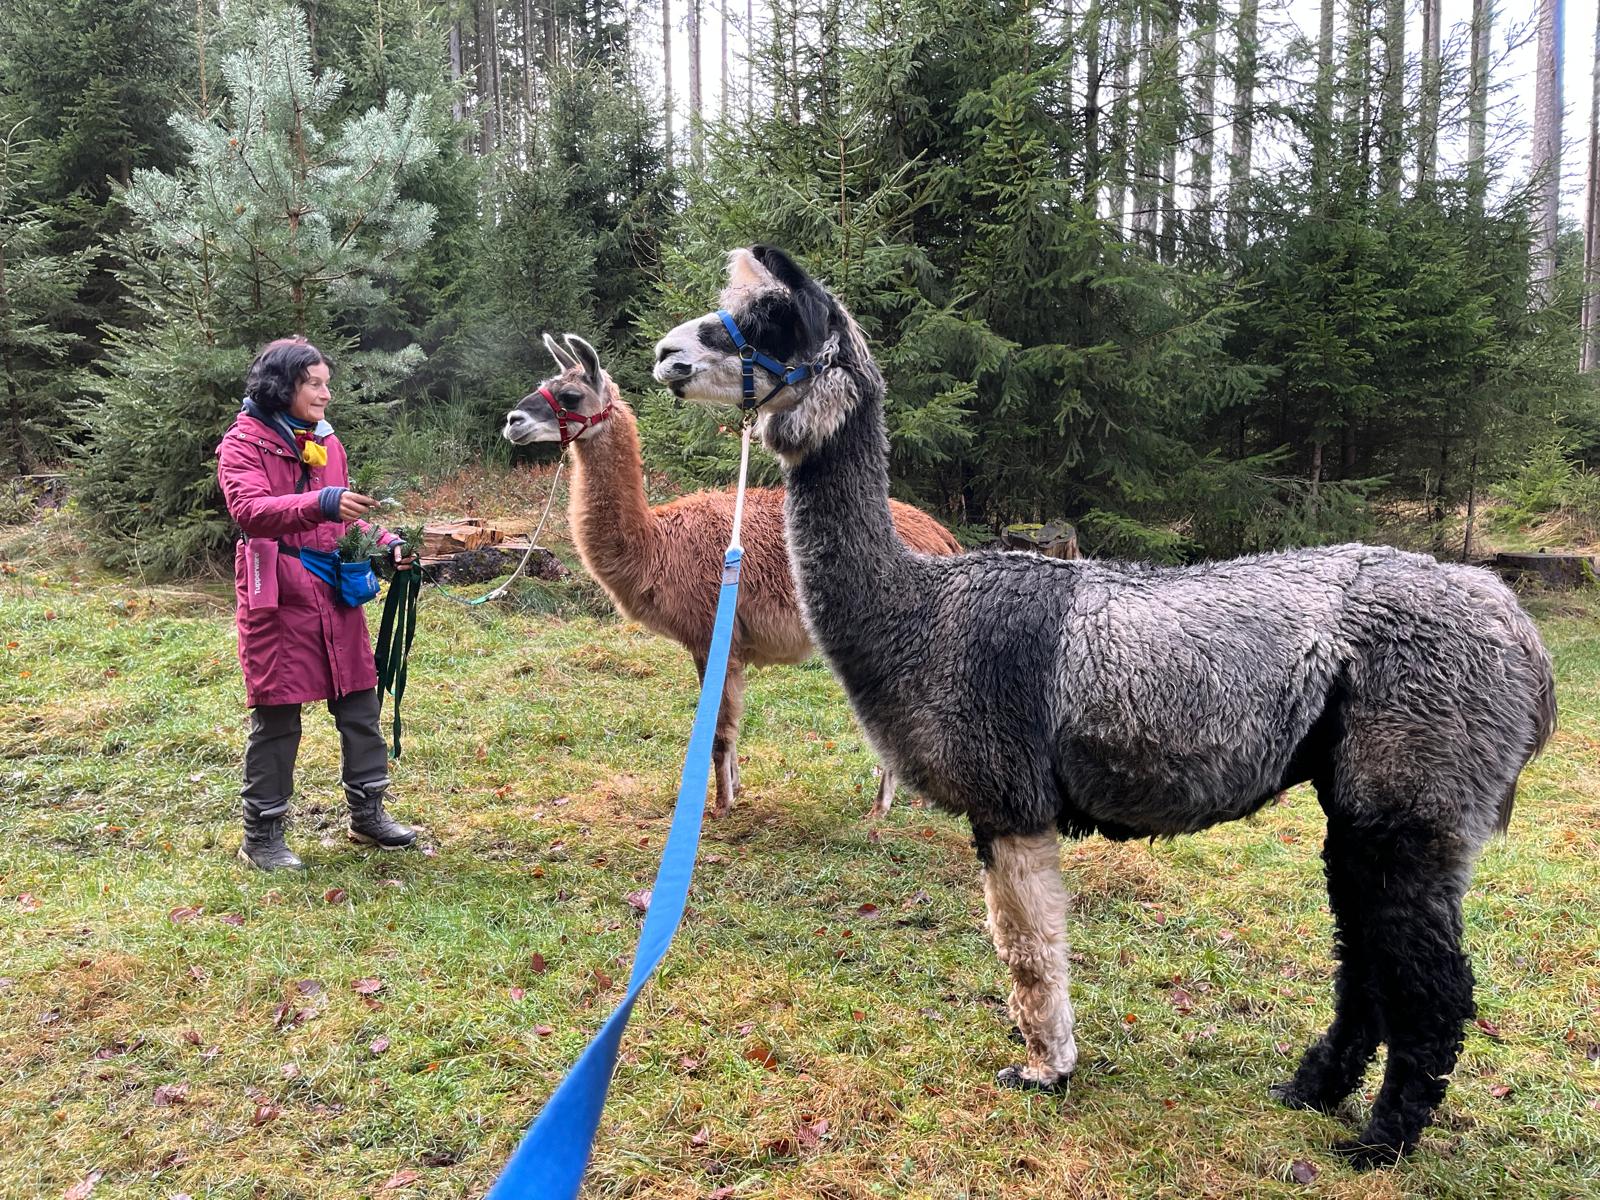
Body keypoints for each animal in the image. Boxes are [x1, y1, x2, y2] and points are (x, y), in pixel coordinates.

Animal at [502, 332, 960, 817]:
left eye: (570, 395)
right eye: (544, 385)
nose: (512, 421)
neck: (657, 545)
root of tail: (941, 534)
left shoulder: (709, 633)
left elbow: (718, 729)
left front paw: (719, 806)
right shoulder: (725, 642)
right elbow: (731, 727)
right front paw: (736, 789)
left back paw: (881, 807)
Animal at [652, 245, 1556, 1166]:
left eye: (769, 321)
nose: (664, 355)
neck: (920, 614)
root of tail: (1520, 631)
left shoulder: (1010, 798)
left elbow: (1028, 949)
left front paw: (1045, 1071)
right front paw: (1052, 1063)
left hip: (1415, 787)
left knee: (1433, 984)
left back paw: (1378, 1140)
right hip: (1364, 799)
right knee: (1368, 957)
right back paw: (1310, 1091)